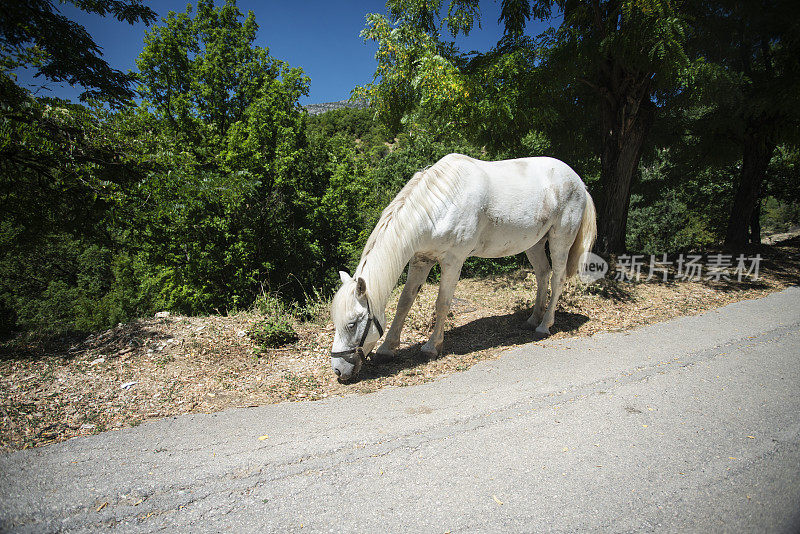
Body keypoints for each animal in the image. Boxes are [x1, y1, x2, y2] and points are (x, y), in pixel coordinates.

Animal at [328, 154, 596, 382]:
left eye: (352, 324)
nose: (338, 371)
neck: (439, 205)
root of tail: (578, 181)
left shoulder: (452, 261)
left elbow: (442, 303)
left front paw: (431, 347)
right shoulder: (421, 260)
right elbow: (405, 302)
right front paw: (387, 349)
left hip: (560, 239)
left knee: (557, 279)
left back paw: (544, 325)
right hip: (535, 243)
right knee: (542, 275)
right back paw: (533, 319)